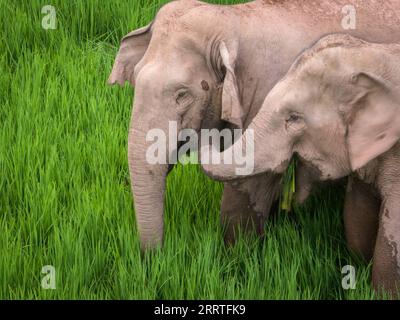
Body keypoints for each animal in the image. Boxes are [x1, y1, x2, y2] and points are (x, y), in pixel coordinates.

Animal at [108, 0, 400, 249]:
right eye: (135, 79)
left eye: (182, 95)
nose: (154, 258)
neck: (233, 20)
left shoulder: (268, 94)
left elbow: (250, 183)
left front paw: (234, 259)